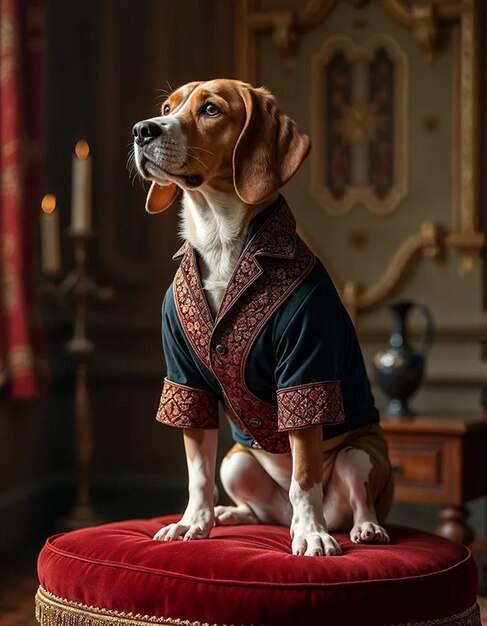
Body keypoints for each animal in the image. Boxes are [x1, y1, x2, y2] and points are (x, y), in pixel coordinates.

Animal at [132, 79, 394, 556]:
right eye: (167, 106)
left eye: (211, 109)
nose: (143, 130)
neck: (220, 239)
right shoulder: (186, 380)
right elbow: (198, 475)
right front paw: (192, 523)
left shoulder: (306, 370)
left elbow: (304, 475)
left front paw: (312, 534)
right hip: (236, 463)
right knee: (260, 510)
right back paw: (232, 515)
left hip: (359, 456)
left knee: (355, 500)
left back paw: (361, 527)